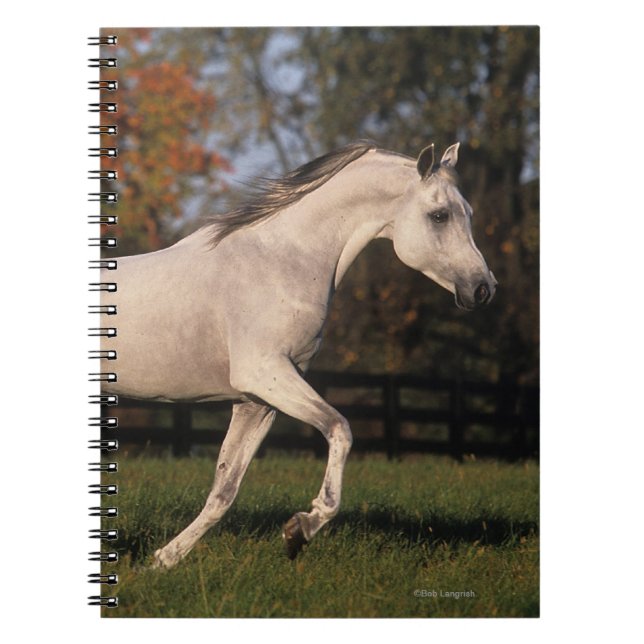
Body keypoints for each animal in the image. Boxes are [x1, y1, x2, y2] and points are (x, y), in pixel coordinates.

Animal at [100, 140, 497, 568]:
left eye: (470, 213)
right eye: (439, 215)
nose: (483, 289)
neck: (281, 261)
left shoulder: (256, 401)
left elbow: (224, 489)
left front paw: (164, 559)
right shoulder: (266, 375)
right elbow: (340, 428)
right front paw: (302, 528)